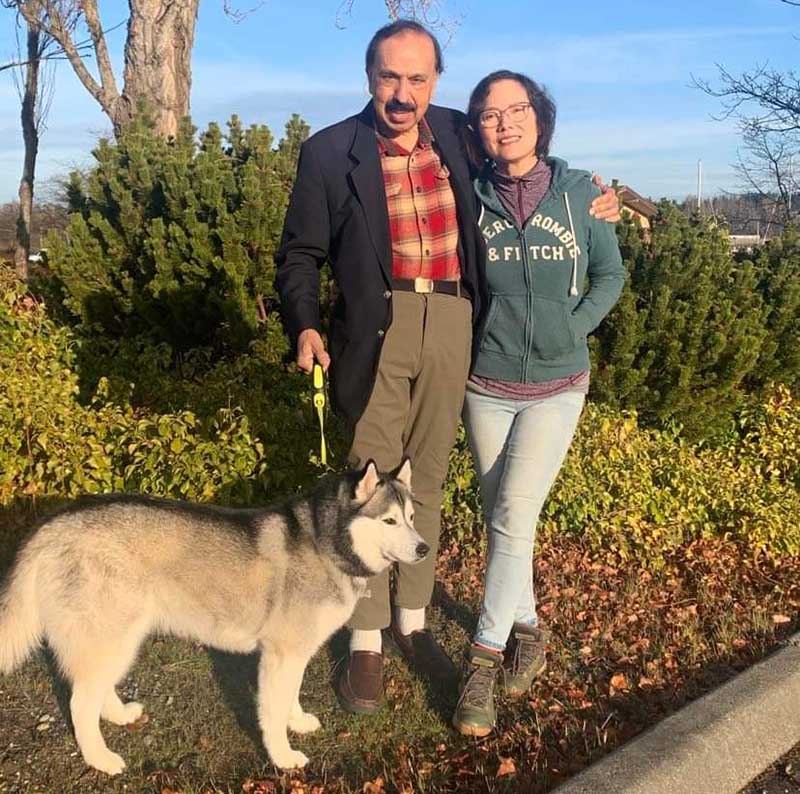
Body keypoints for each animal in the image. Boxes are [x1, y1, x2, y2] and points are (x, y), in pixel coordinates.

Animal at [0, 458, 424, 772]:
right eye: (388, 520)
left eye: (411, 517)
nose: (423, 548)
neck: (325, 540)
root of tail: (50, 526)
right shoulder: (281, 654)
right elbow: (272, 712)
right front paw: (282, 756)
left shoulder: (294, 653)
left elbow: (290, 697)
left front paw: (297, 721)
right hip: (111, 637)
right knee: (79, 703)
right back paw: (100, 759)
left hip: (120, 639)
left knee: (94, 691)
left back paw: (119, 715)